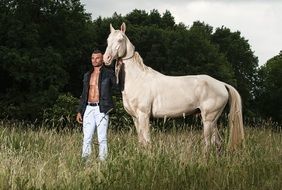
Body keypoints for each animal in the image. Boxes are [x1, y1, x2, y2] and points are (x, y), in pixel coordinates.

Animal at [103, 23, 245, 152]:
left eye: (120, 39)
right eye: (108, 40)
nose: (106, 59)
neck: (138, 79)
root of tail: (222, 84)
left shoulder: (144, 115)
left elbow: (147, 141)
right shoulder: (135, 118)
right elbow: (141, 141)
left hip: (208, 120)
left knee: (208, 144)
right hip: (213, 121)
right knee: (218, 144)